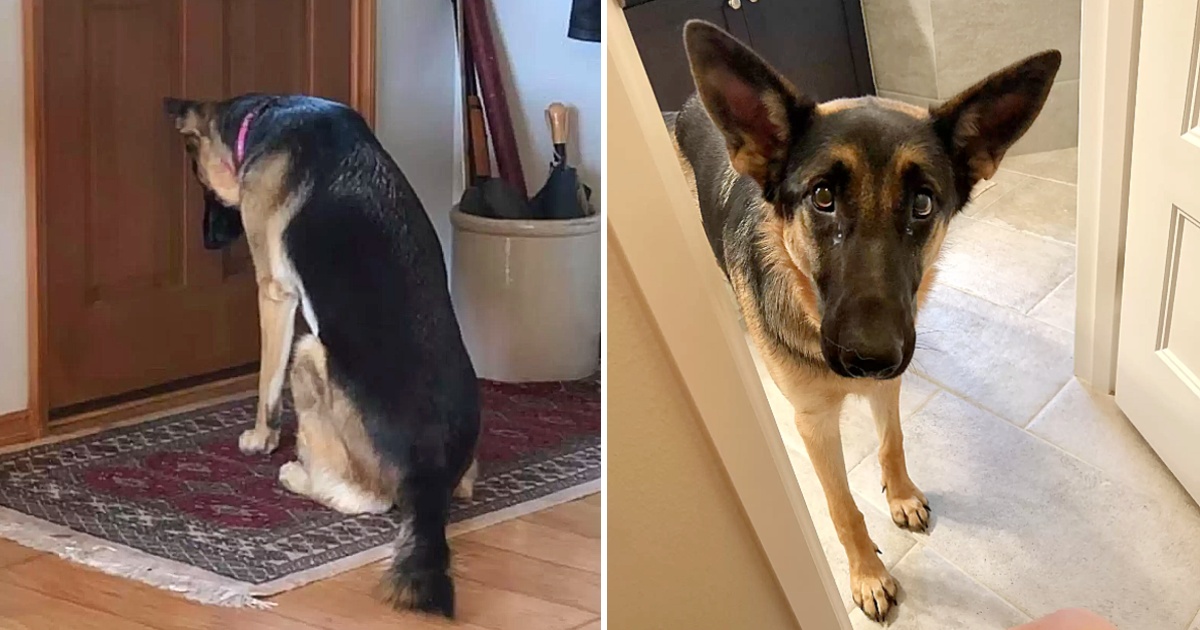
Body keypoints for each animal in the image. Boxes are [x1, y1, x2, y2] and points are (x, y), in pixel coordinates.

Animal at [165, 94, 482, 619]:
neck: (266, 116)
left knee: (364, 498)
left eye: (202, 183)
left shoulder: (274, 293)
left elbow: (266, 385)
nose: (207, 241)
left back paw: (299, 474)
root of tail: (429, 478)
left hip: (308, 353)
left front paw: (261, 438)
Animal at [676, 19, 1060, 619]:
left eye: (923, 204)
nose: (870, 357)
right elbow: (841, 507)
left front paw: (899, 495)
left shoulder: (890, 385)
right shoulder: (813, 424)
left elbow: (891, 441)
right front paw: (867, 575)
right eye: (823, 197)